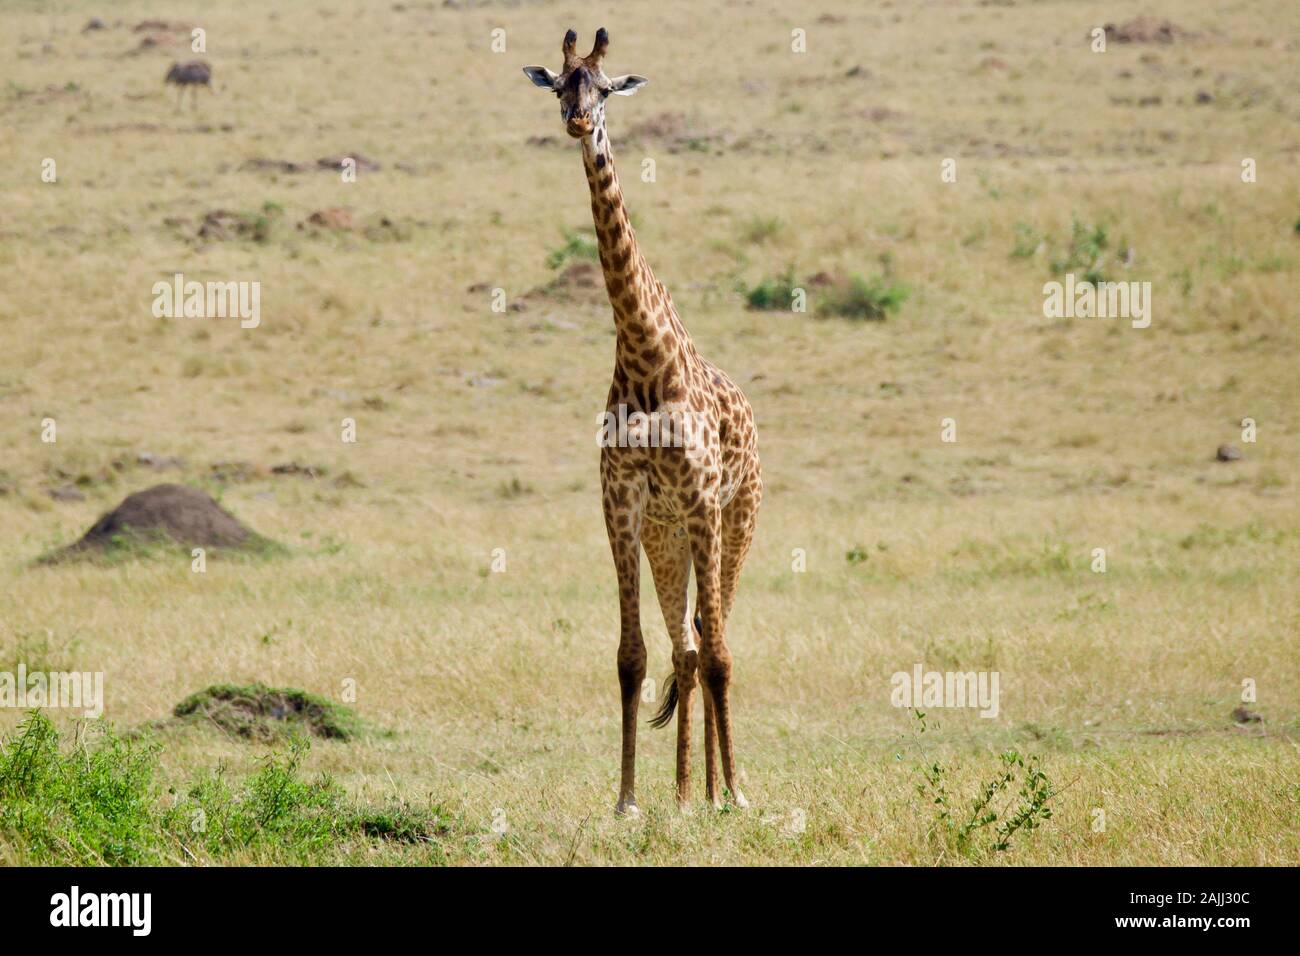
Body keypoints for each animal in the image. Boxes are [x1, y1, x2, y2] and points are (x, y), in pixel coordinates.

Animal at [520, 27, 759, 816]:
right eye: (559, 84)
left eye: (604, 87)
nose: (576, 122)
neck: (644, 351)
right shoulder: (621, 504)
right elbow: (632, 658)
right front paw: (627, 801)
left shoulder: (704, 504)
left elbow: (720, 654)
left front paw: (737, 796)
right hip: (666, 542)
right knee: (683, 649)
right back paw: (686, 793)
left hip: (735, 522)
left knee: (715, 641)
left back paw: (714, 791)